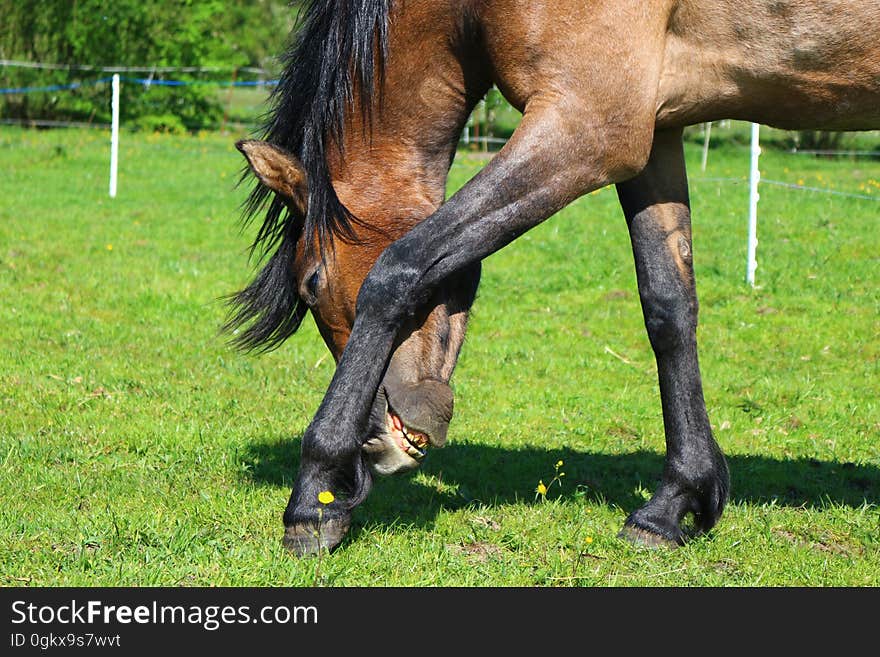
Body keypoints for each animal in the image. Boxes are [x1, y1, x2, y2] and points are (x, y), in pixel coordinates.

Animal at [229, 0, 880, 552]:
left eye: (312, 283)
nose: (376, 443)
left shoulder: (587, 127)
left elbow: (398, 271)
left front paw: (314, 497)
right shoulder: (655, 133)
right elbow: (668, 307)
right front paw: (675, 502)